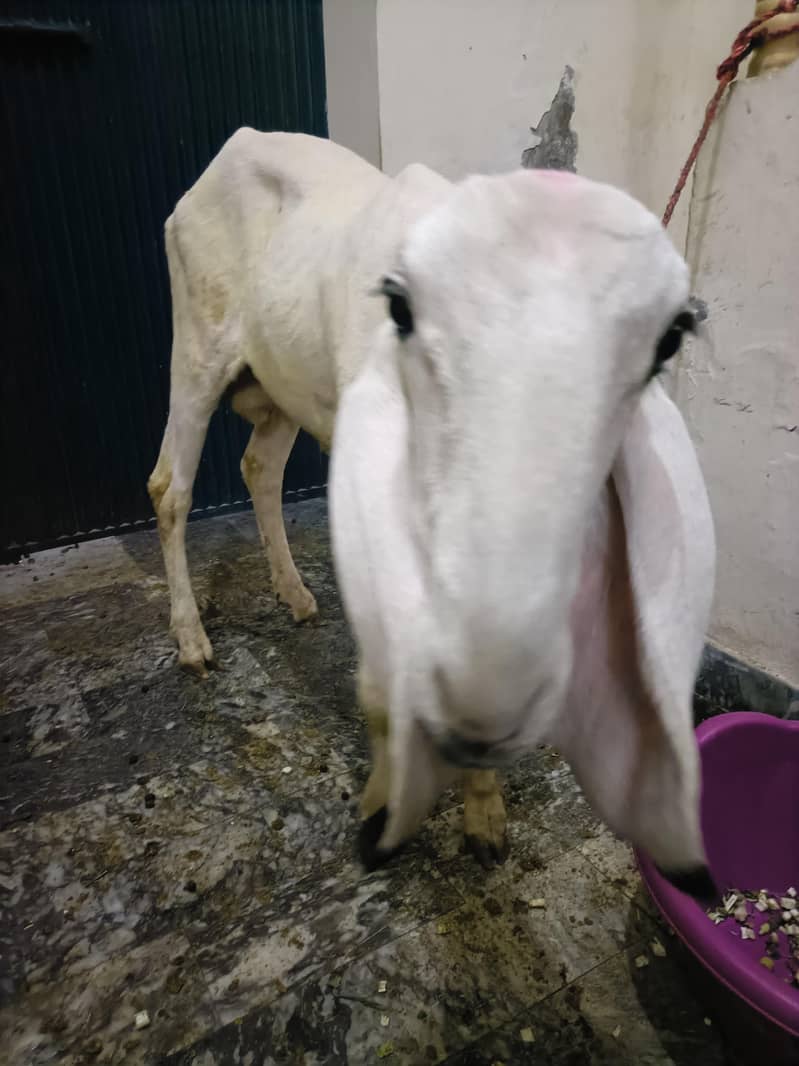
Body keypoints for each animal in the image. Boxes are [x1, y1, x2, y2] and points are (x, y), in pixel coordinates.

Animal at [150, 131, 715, 890]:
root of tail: (237, 143)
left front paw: (483, 817)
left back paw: (294, 594)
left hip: (280, 381)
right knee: (170, 487)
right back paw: (190, 638)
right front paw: (388, 803)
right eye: (403, 309)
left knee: (258, 468)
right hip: (198, 347)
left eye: (669, 337)